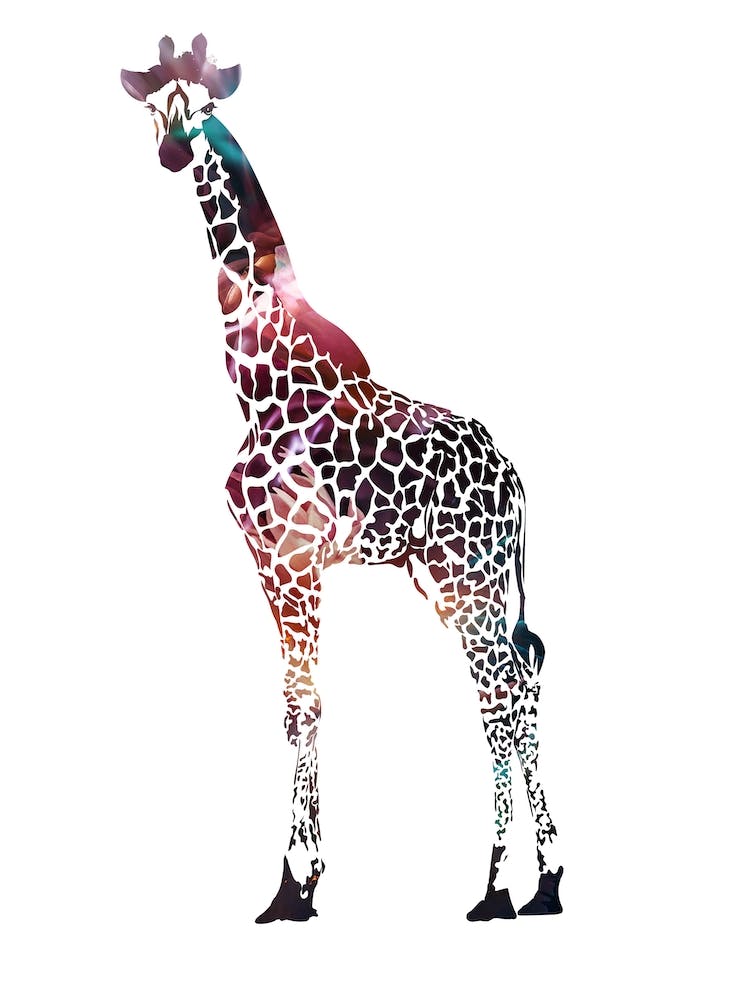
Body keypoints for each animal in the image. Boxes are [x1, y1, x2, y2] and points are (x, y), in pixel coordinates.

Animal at [121, 35, 563, 923]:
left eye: (206, 105)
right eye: (155, 104)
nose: (172, 151)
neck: (259, 379)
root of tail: (516, 476)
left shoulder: (295, 561)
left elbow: (306, 703)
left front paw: (294, 882)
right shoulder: (270, 563)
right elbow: (297, 704)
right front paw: (298, 881)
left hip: (469, 578)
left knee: (501, 695)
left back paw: (497, 886)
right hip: (453, 581)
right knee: (520, 686)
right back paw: (545, 882)